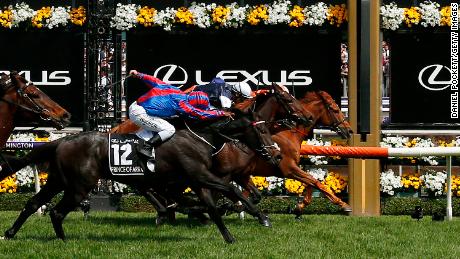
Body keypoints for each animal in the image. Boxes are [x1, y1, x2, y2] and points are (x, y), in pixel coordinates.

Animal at [0, 111, 280, 244]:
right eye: (263, 130)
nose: (275, 154)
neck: (200, 137)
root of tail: (62, 141)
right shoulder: (199, 175)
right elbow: (231, 191)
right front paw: (262, 217)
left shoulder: (197, 181)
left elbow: (212, 206)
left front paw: (229, 237)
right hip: (79, 186)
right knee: (56, 212)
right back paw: (63, 240)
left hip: (58, 180)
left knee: (33, 204)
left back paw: (11, 233)